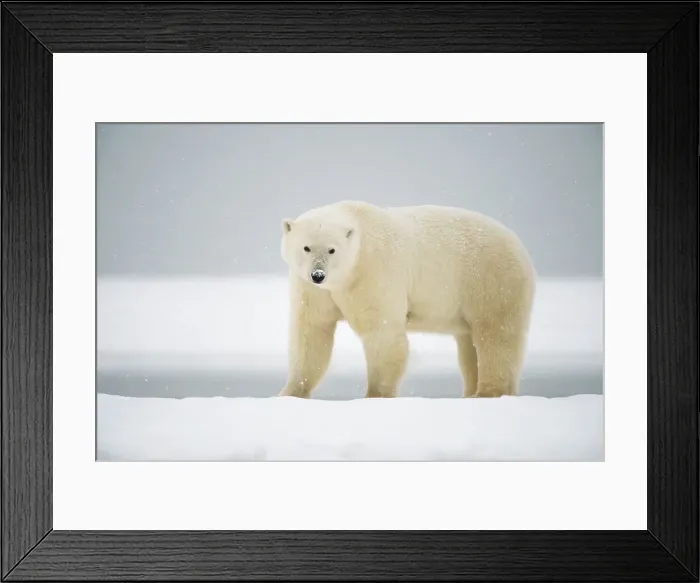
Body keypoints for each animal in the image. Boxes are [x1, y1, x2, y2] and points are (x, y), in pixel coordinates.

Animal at [278, 200, 536, 399]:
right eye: (306, 247)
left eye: (332, 249)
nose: (318, 274)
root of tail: (519, 245)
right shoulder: (312, 289)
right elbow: (312, 332)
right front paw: (289, 393)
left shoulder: (374, 271)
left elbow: (382, 333)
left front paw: (375, 395)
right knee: (468, 346)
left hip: (492, 281)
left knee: (496, 335)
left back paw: (488, 392)